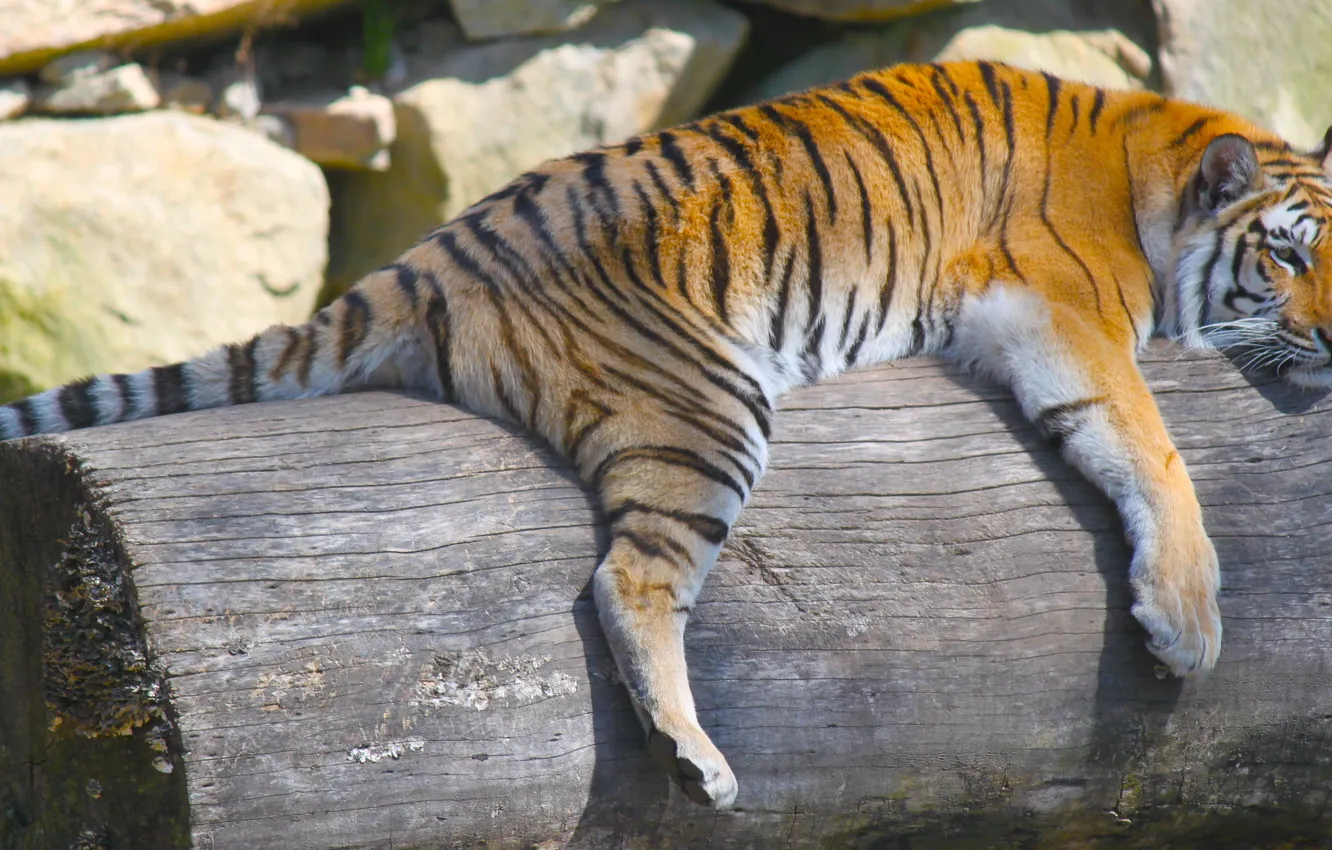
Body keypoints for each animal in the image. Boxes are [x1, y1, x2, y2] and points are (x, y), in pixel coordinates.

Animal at [3, 60, 1331, 809]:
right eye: (1286, 257)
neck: (1153, 163)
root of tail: (437, 248)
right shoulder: (1058, 311)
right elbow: (1150, 445)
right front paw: (1188, 623)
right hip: (710, 409)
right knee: (626, 579)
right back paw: (696, 760)